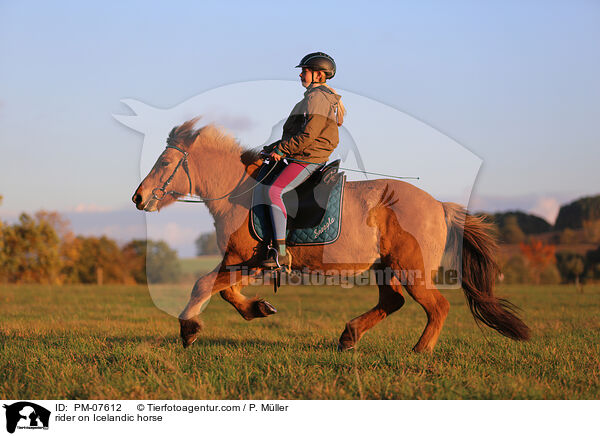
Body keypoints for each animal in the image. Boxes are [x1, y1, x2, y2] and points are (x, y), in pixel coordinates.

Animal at [130, 117, 528, 352]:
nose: (138, 198)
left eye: (164, 163)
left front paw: (189, 328)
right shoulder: (245, 263)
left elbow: (203, 285)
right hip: (385, 268)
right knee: (392, 302)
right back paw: (349, 336)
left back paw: (419, 351)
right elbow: (226, 292)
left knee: (437, 306)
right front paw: (258, 308)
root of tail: (438, 205)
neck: (240, 191)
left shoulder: (243, 260)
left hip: (410, 269)